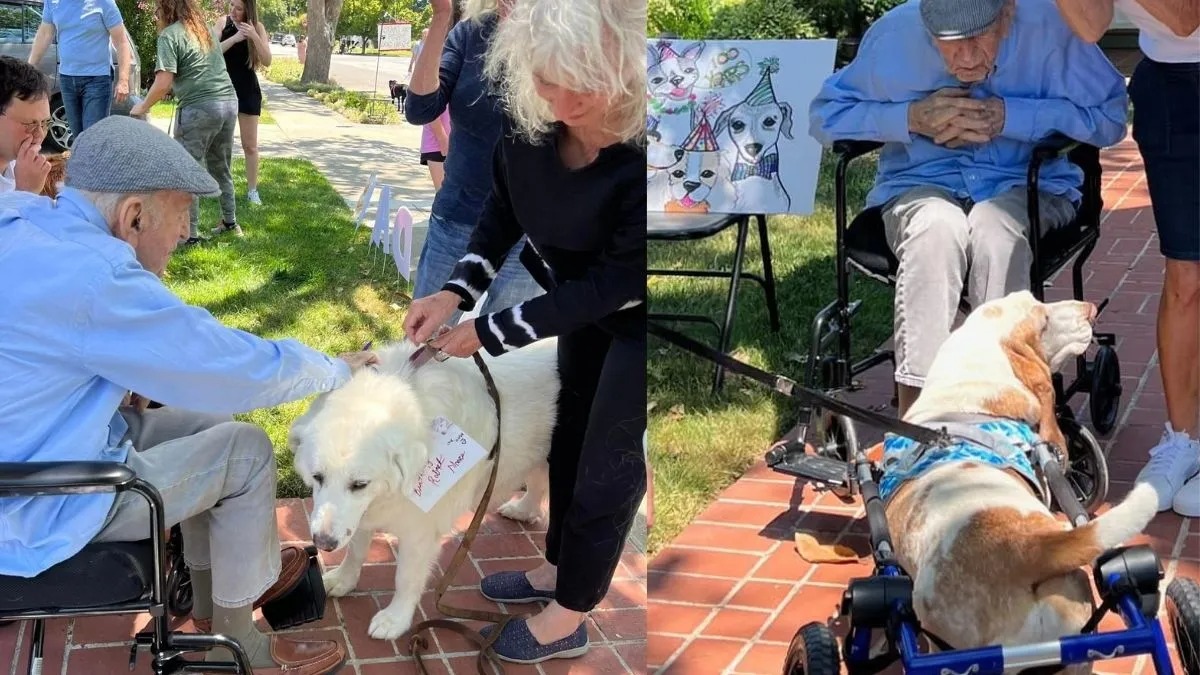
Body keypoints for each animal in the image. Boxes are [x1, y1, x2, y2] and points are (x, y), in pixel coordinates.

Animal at [288, 338, 559, 638]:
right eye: (317, 477)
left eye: (359, 484)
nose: (323, 544)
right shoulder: (360, 515)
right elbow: (356, 550)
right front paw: (343, 580)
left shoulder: (420, 532)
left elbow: (405, 578)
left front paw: (395, 619)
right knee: (538, 482)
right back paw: (523, 510)